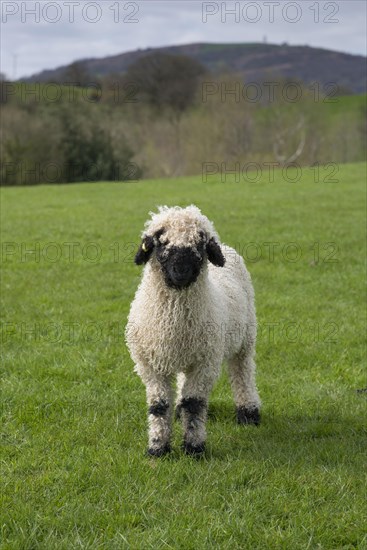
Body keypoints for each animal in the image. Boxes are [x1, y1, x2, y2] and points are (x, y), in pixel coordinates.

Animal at [126, 206, 262, 458]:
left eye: (199, 245)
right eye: (161, 243)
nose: (181, 272)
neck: (173, 321)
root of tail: (225, 246)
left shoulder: (205, 363)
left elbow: (195, 404)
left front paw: (193, 448)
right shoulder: (150, 365)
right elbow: (159, 406)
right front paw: (157, 448)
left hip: (245, 339)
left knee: (243, 372)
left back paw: (249, 413)